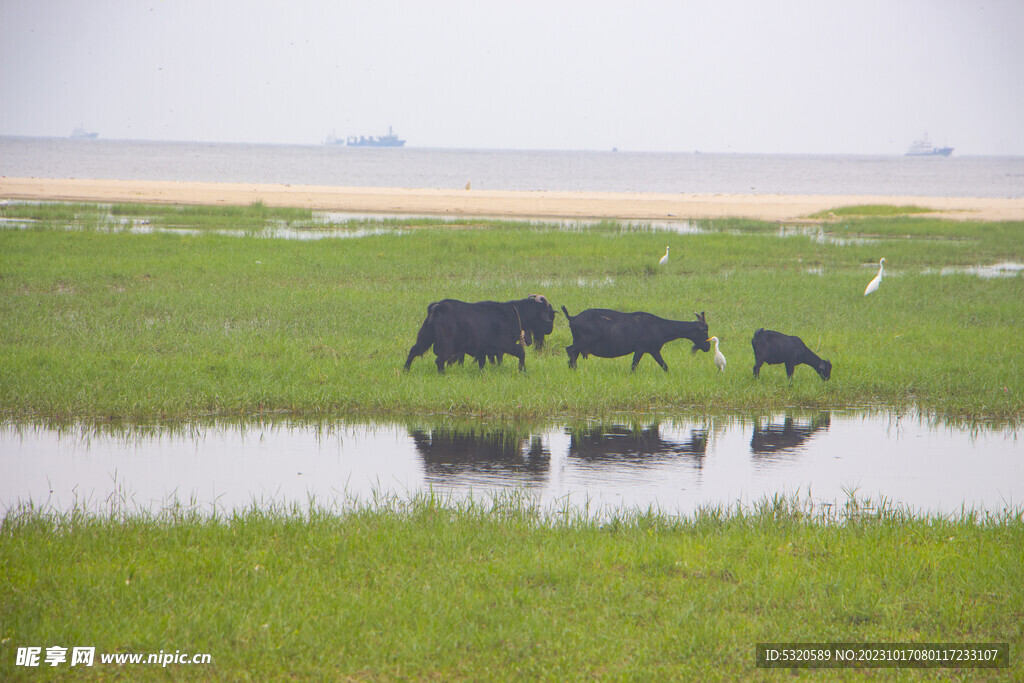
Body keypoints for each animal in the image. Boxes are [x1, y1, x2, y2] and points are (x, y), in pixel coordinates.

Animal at [561, 307, 712, 370]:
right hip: (583, 341)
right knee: (569, 350)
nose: (707, 347)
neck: (661, 327)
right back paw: (574, 369)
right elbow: (634, 366)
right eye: (705, 330)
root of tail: (572, 318)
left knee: (572, 354)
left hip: (578, 341)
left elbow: (665, 366)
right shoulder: (642, 348)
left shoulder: (652, 350)